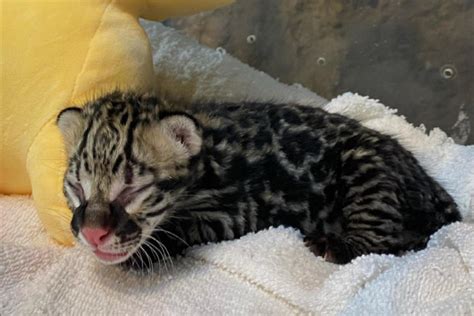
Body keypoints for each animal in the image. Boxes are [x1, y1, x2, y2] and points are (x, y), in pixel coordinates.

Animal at [55, 90, 460, 270]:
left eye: (133, 190)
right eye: (76, 188)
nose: (92, 234)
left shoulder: (240, 208)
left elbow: (183, 226)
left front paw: (144, 253)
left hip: (368, 166)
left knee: (383, 241)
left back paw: (334, 245)